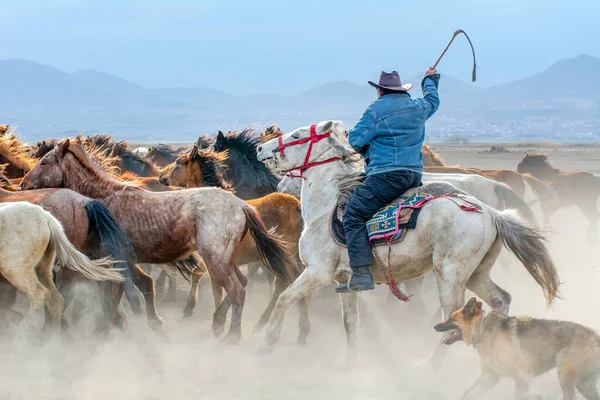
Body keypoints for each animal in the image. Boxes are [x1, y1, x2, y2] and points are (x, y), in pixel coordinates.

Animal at [0, 203, 122, 340]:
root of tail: (46, 217)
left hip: (14, 267)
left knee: (39, 295)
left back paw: (21, 337)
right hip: (41, 270)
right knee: (56, 300)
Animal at [22, 138, 294, 340]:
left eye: (44, 161)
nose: (23, 183)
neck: (101, 201)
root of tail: (241, 205)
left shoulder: (117, 259)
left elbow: (120, 293)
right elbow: (126, 291)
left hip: (215, 259)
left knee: (238, 290)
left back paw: (232, 336)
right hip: (225, 260)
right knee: (242, 284)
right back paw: (219, 323)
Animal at [255, 119, 560, 366]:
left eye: (296, 135)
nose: (260, 149)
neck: (327, 208)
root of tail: (492, 213)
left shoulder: (317, 273)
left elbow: (284, 299)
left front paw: (267, 343)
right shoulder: (344, 281)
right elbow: (350, 321)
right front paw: (349, 360)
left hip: (449, 274)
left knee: (453, 318)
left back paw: (429, 365)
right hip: (477, 273)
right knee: (500, 298)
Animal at [434, 296, 600, 400]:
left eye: (451, 319)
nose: (434, 326)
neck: (481, 328)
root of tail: (596, 337)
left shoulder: (523, 377)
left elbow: (520, 396)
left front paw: (536, 396)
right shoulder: (489, 378)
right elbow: (468, 393)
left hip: (565, 375)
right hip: (583, 384)